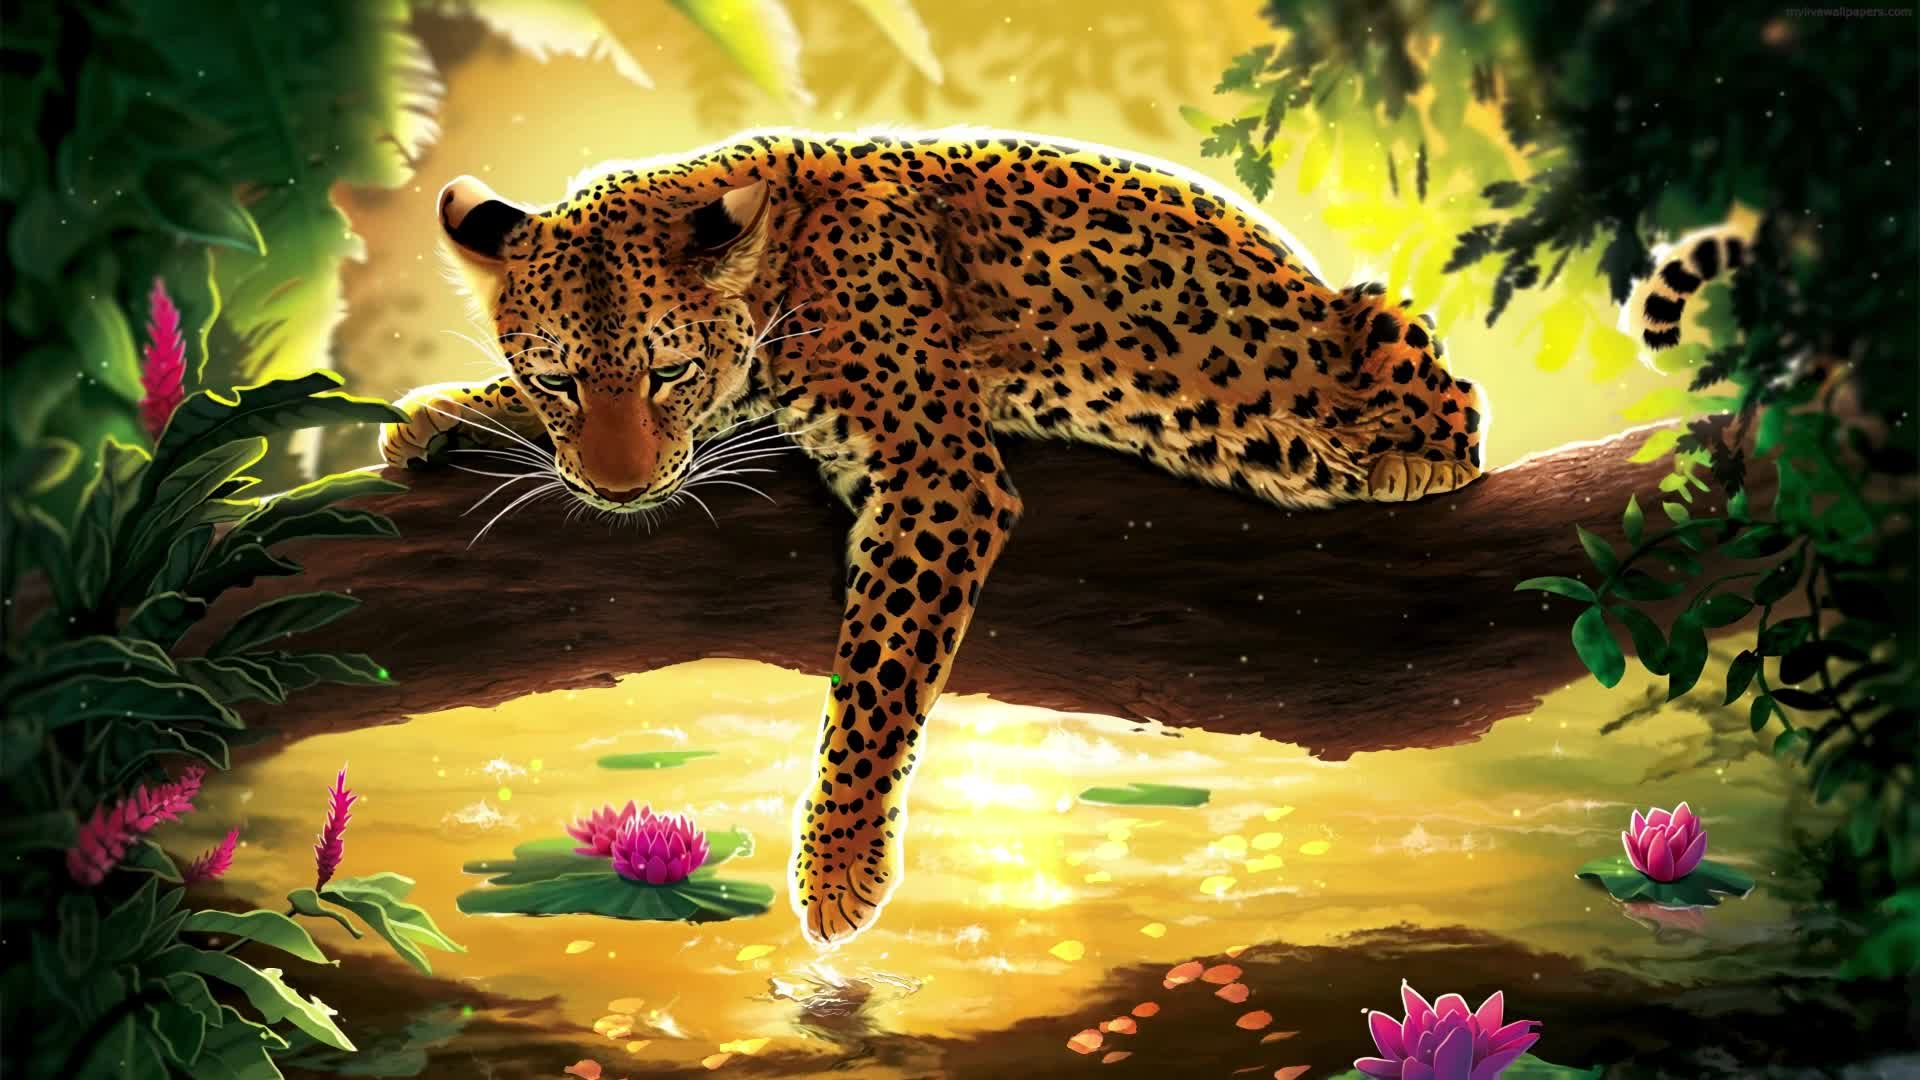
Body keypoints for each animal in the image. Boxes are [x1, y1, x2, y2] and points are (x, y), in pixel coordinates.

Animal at [381, 127, 1489, 947]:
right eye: (558, 379)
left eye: (669, 372)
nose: (620, 489)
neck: (781, 273)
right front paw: (445, 412)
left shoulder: (937, 476)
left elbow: (877, 681)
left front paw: (837, 866)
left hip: (1368, 338)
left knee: (1451, 395)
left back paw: (1409, 457)